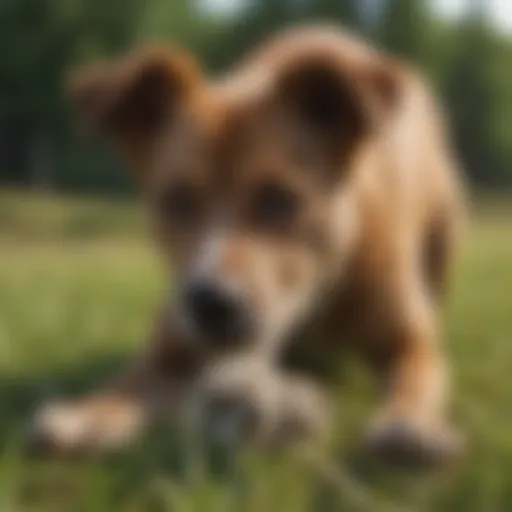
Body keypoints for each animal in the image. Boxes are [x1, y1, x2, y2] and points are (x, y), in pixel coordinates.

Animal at [31, 26, 464, 466]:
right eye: (176, 200)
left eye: (279, 199)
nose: (211, 303)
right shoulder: (172, 349)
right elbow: (129, 383)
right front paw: (88, 416)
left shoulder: (409, 340)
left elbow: (415, 376)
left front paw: (408, 423)